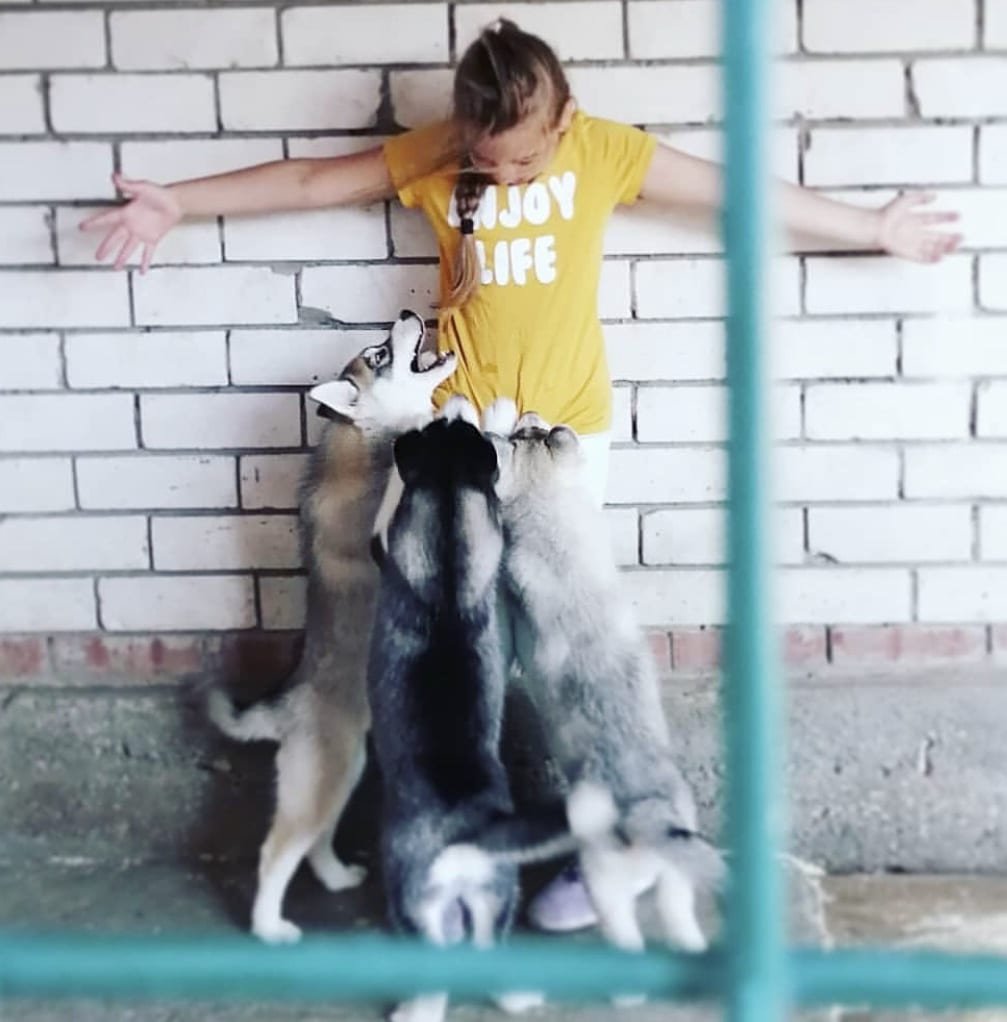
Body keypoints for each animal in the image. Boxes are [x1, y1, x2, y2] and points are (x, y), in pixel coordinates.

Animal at [207, 308, 455, 940]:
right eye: (378, 355)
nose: (408, 314)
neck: (366, 435)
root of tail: (286, 706)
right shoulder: (384, 526)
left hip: (344, 769)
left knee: (316, 842)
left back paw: (338, 877)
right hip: (322, 775)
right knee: (278, 851)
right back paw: (270, 927)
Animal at [478, 400, 723, 964]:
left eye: (525, 431)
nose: (531, 410)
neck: (552, 518)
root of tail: (648, 816)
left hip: (604, 882)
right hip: (676, 882)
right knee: (681, 922)